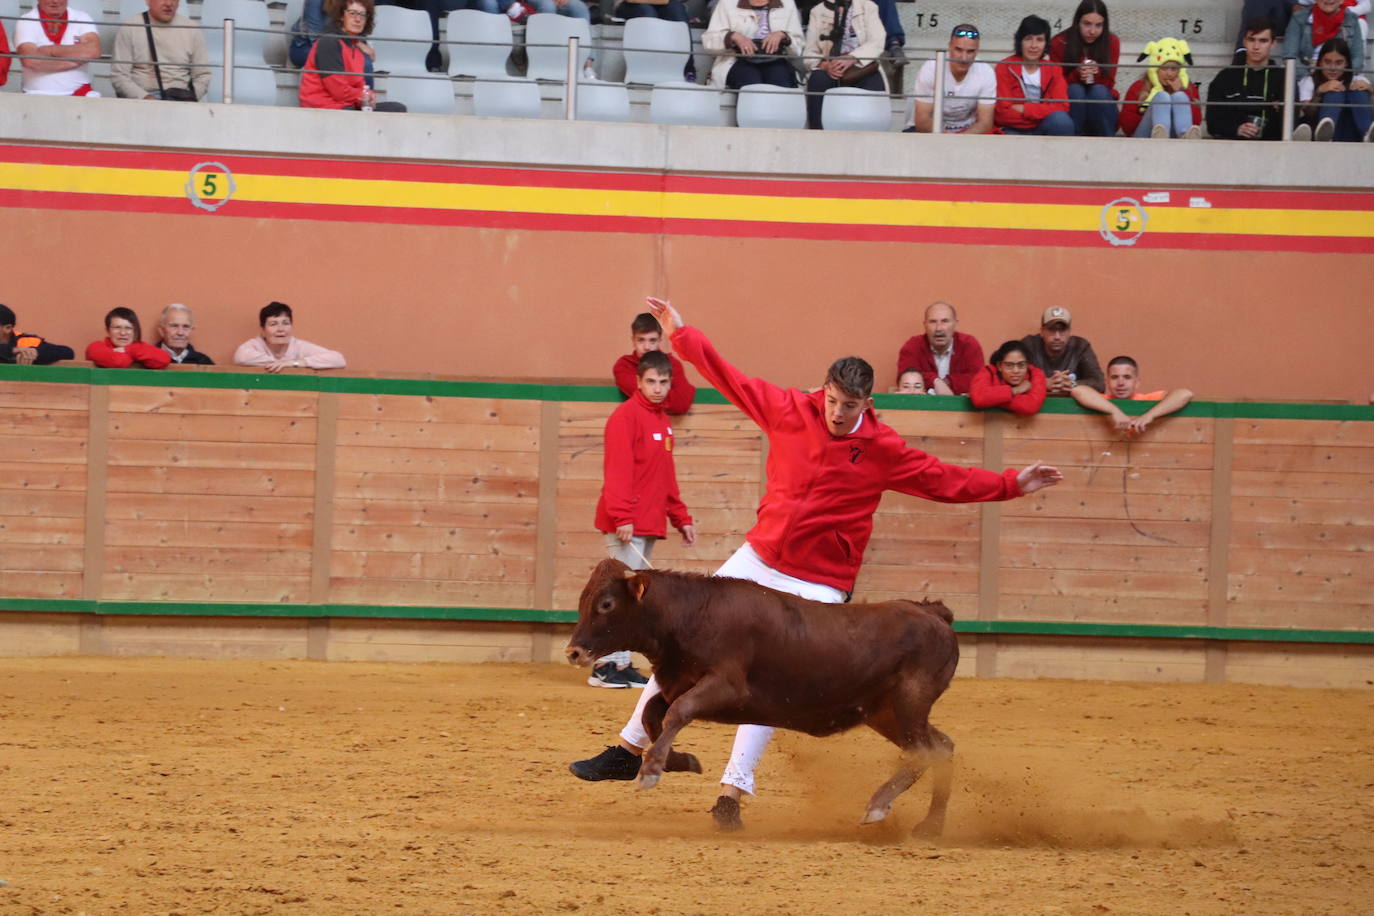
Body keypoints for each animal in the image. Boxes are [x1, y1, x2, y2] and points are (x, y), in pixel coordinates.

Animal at [563, 560, 961, 840]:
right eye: (582, 601)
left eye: (606, 604)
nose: (573, 652)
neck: (692, 614)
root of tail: (933, 613)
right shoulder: (678, 684)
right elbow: (652, 713)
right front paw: (682, 761)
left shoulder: (725, 686)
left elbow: (677, 712)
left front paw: (651, 770)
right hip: (885, 713)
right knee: (941, 748)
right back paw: (931, 827)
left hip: (909, 702)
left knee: (925, 751)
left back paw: (879, 805)